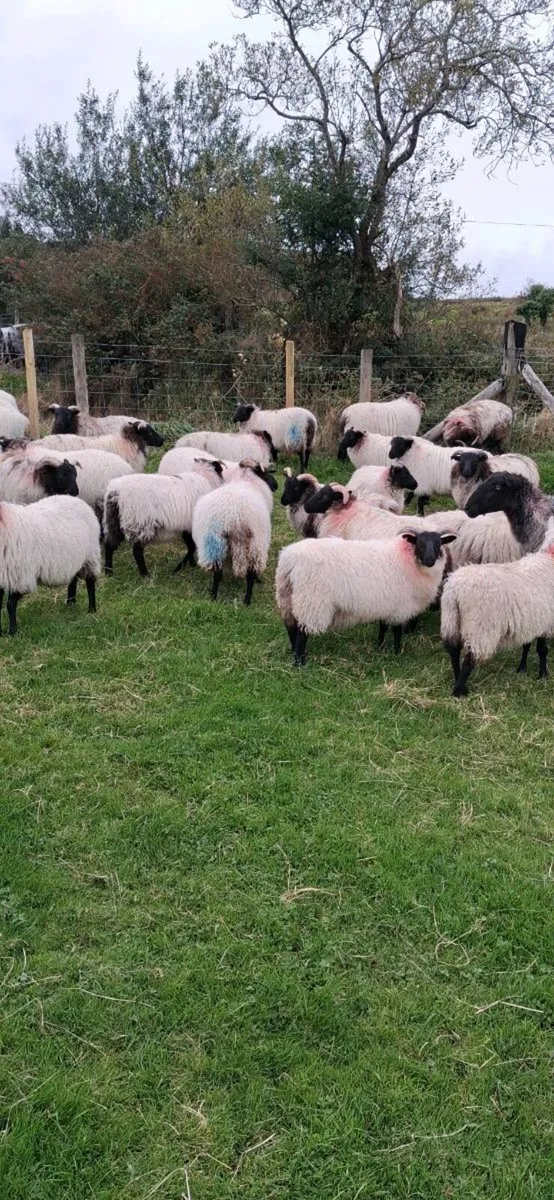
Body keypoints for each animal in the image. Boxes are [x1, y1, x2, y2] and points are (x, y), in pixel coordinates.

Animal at [0, 495, 101, 635]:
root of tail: (77, 500)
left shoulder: (21, 577)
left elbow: (10, 604)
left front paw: (12, 632)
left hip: (90, 556)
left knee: (90, 582)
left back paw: (91, 610)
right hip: (72, 559)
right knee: (73, 579)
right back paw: (70, 603)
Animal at [192, 459, 277, 604]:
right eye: (265, 472)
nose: (276, 485)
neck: (245, 479)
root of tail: (234, 516)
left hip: (215, 544)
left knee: (217, 572)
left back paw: (213, 597)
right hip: (255, 544)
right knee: (250, 573)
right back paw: (247, 601)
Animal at [276, 529, 456, 666]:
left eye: (439, 544)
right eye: (420, 543)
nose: (430, 560)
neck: (409, 560)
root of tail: (289, 559)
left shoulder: (387, 604)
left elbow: (383, 626)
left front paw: (380, 647)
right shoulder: (399, 606)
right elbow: (397, 631)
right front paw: (397, 653)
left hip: (287, 596)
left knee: (291, 626)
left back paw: (294, 652)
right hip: (311, 600)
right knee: (302, 632)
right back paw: (300, 663)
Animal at [441, 544, 554, 697]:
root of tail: (455, 590)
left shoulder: (530, 622)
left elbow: (526, 645)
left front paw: (522, 669)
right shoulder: (545, 622)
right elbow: (542, 650)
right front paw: (543, 675)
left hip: (450, 618)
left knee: (454, 651)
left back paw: (458, 681)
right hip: (480, 626)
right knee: (469, 659)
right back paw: (459, 692)